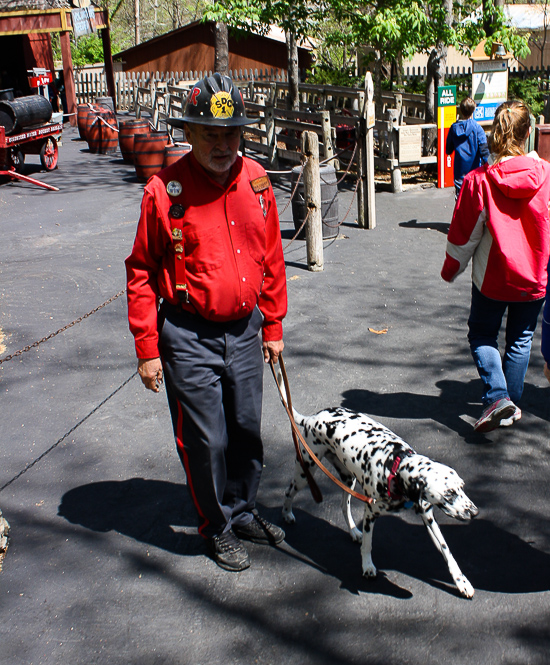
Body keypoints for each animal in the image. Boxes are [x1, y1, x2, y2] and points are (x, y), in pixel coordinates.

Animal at [282, 378, 480, 596]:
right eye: (449, 493)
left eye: (462, 487)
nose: (475, 512)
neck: (394, 465)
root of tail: (313, 418)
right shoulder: (370, 514)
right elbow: (368, 545)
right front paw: (367, 566)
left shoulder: (428, 517)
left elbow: (447, 552)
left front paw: (462, 582)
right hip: (304, 471)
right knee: (289, 492)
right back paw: (287, 514)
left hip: (348, 479)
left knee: (344, 506)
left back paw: (353, 531)